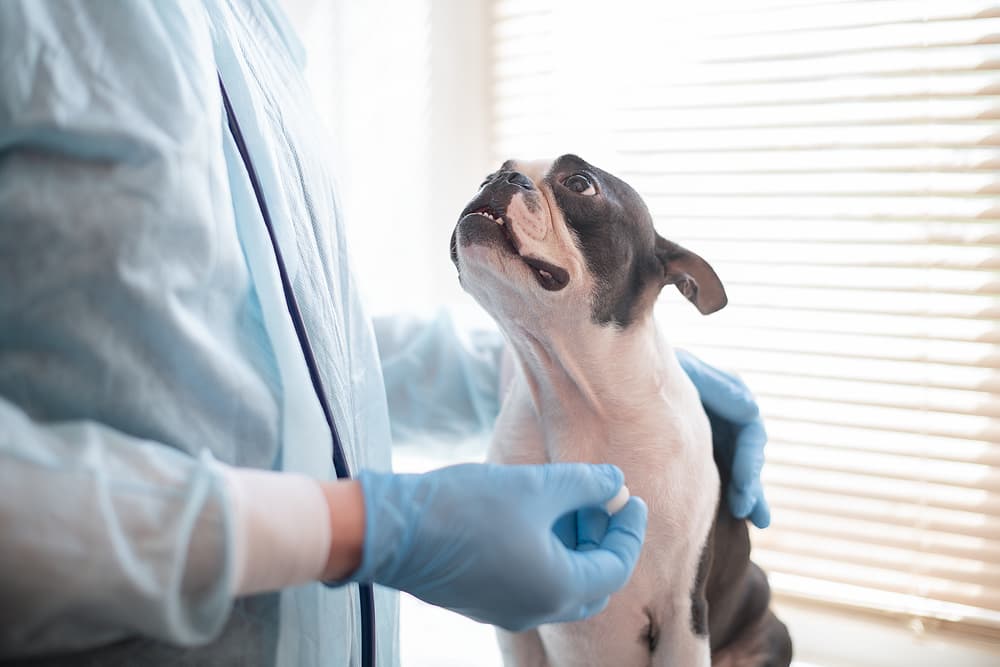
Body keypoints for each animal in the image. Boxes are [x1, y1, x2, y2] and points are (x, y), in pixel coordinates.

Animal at [452, 157, 788, 667]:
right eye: (491, 174)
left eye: (579, 184)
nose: (498, 179)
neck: (578, 397)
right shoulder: (517, 623)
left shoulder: (682, 617)